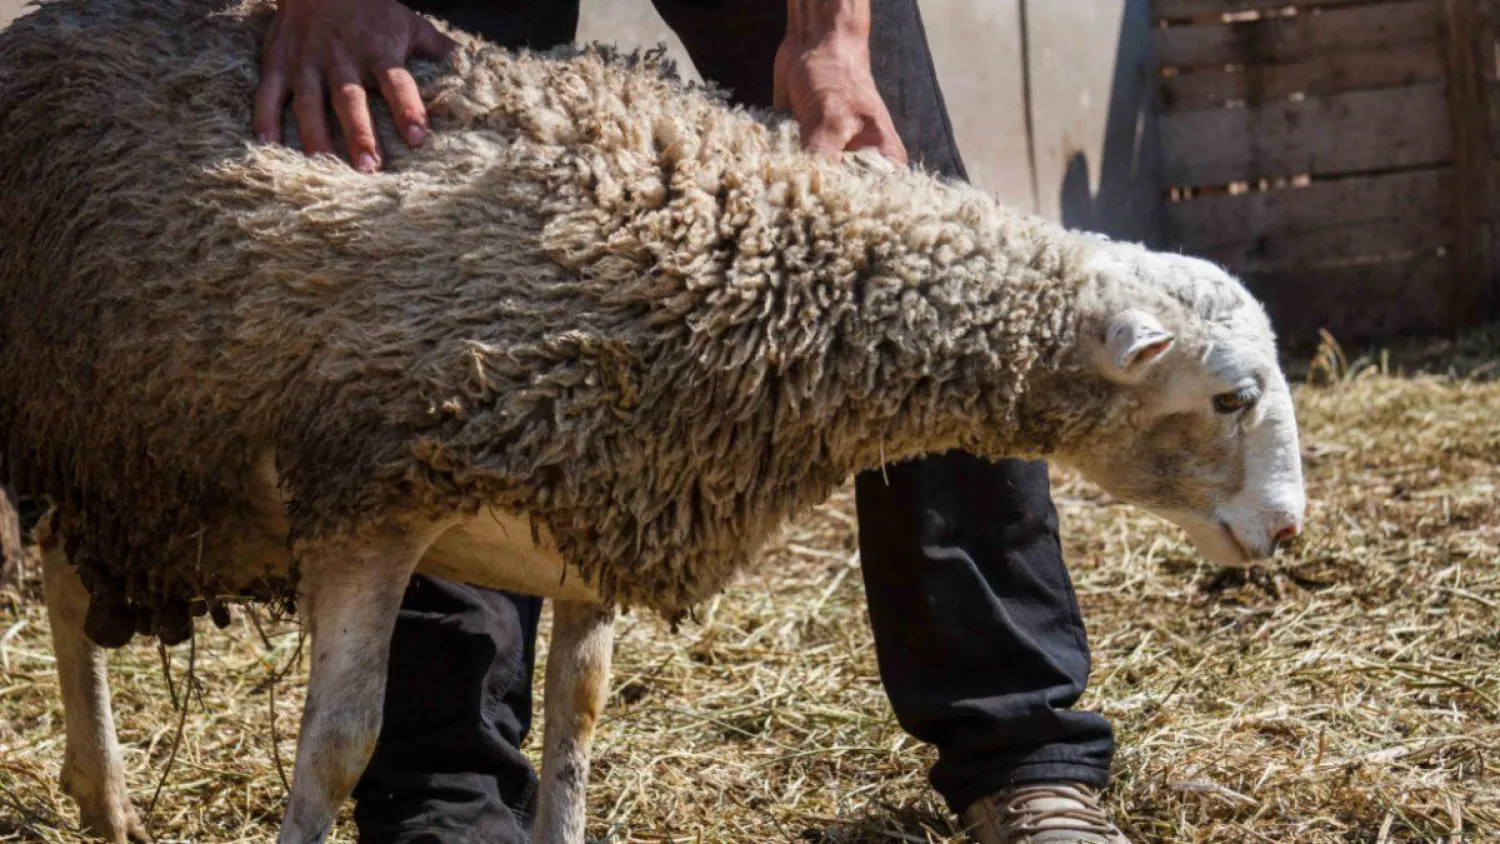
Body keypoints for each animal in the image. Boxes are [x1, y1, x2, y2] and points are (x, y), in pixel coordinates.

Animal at [0, 1, 1302, 844]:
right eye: (1229, 398)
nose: (1288, 531)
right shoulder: (372, 495)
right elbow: (340, 744)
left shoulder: (600, 508)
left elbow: (574, 727)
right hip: (96, 414)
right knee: (61, 587)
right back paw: (103, 789)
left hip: (116, 432)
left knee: (64, 577)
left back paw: (99, 796)